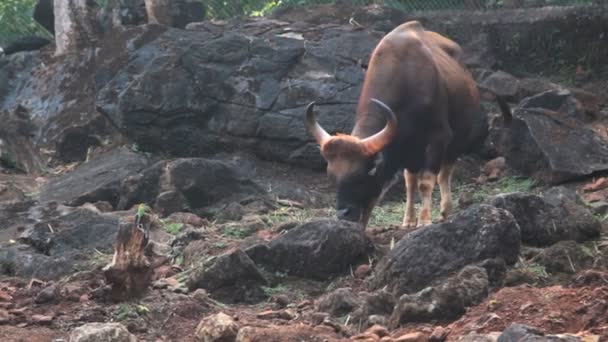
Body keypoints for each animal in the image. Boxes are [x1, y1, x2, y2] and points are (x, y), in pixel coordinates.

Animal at [306, 22, 510, 230]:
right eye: (331, 175)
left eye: (365, 173)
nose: (343, 213)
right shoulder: (405, 149)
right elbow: (409, 184)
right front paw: (408, 220)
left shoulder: (438, 138)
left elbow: (426, 182)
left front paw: (424, 220)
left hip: (456, 142)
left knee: (444, 174)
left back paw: (445, 210)